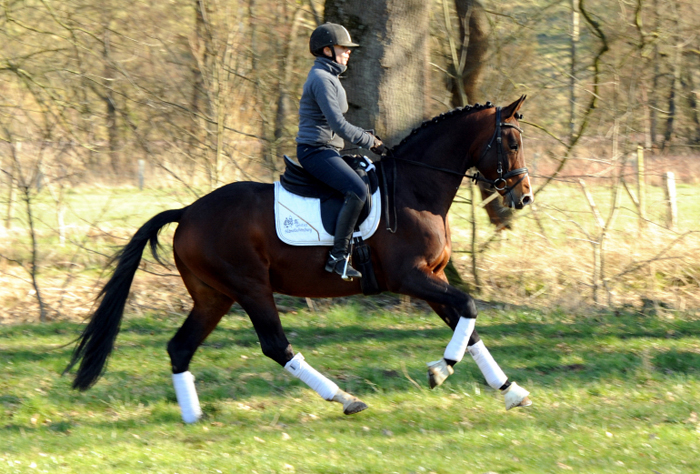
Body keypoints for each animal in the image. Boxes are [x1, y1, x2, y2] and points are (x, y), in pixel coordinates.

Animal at [67, 96, 536, 422]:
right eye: (511, 142)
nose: (524, 197)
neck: (416, 189)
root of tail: (188, 212)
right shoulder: (412, 277)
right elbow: (469, 308)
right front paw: (442, 369)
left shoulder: (433, 277)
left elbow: (467, 325)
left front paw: (509, 391)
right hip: (250, 288)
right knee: (275, 345)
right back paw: (345, 398)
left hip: (214, 296)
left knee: (180, 348)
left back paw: (193, 417)